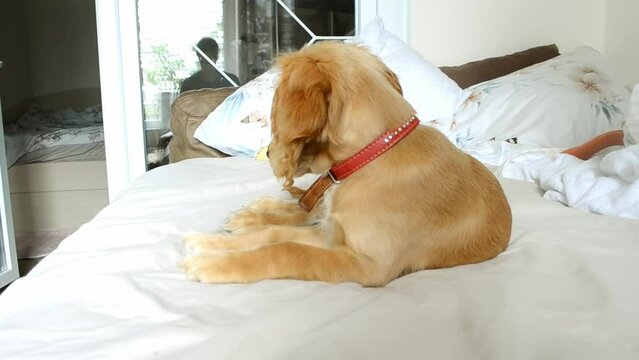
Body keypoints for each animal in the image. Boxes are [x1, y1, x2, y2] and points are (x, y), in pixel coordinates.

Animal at [182, 40, 512, 286]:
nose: (270, 154)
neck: (373, 154)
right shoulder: (333, 234)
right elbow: (273, 235)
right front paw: (213, 243)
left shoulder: (367, 264)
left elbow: (286, 250)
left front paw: (215, 264)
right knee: (303, 208)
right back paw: (254, 213)